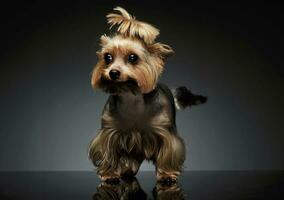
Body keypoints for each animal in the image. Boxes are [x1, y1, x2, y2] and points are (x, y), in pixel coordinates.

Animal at [89, 7, 206, 184]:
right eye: (107, 57)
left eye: (132, 57)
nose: (113, 73)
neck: (131, 96)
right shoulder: (109, 132)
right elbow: (108, 152)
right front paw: (109, 174)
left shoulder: (164, 133)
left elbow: (169, 152)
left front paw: (167, 174)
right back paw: (127, 170)